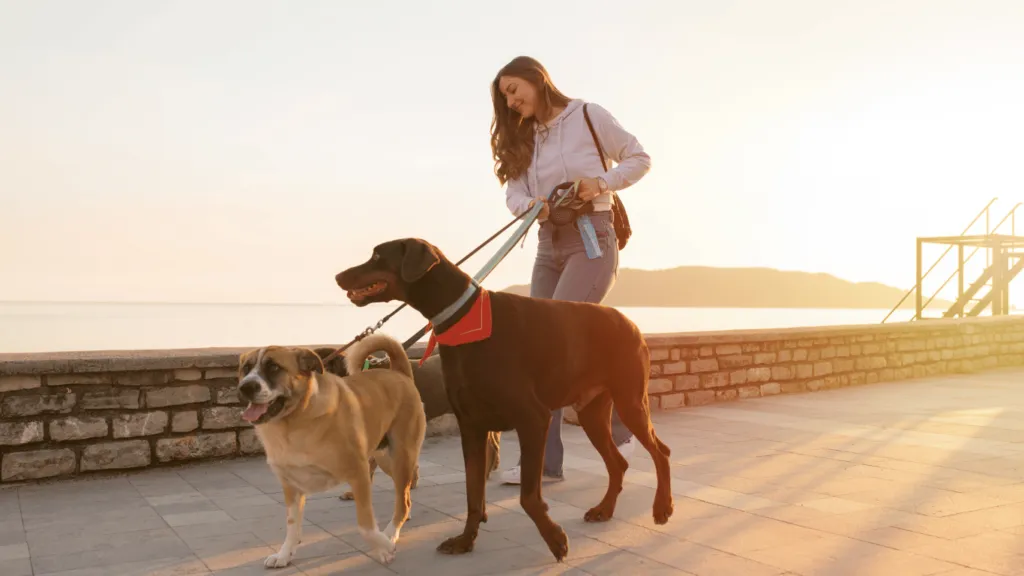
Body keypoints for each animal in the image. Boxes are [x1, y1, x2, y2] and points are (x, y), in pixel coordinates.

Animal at [237, 332, 425, 565]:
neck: (294, 423)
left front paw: (384, 548)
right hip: (385, 459)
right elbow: (292, 526)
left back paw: (391, 533)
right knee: (405, 495)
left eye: (273, 366)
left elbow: (365, 525)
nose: (245, 387)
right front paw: (284, 554)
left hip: (400, 457)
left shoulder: (359, 473)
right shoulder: (291, 485)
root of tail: (399, 373)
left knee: (402, 499)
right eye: (246, 368)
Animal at [331, 236, 675, 561]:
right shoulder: (471, 425)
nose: (337, 276)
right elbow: (473, 494)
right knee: (618, 463)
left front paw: (555, 539)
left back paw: (662, 507)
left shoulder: (533, 419)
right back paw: (604, 510)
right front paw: (465, 540)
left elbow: (529, 496)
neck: (462, 320)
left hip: (630, 400)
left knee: (661, 452)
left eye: (378, 254)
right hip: (591, 412)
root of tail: (630, 322)